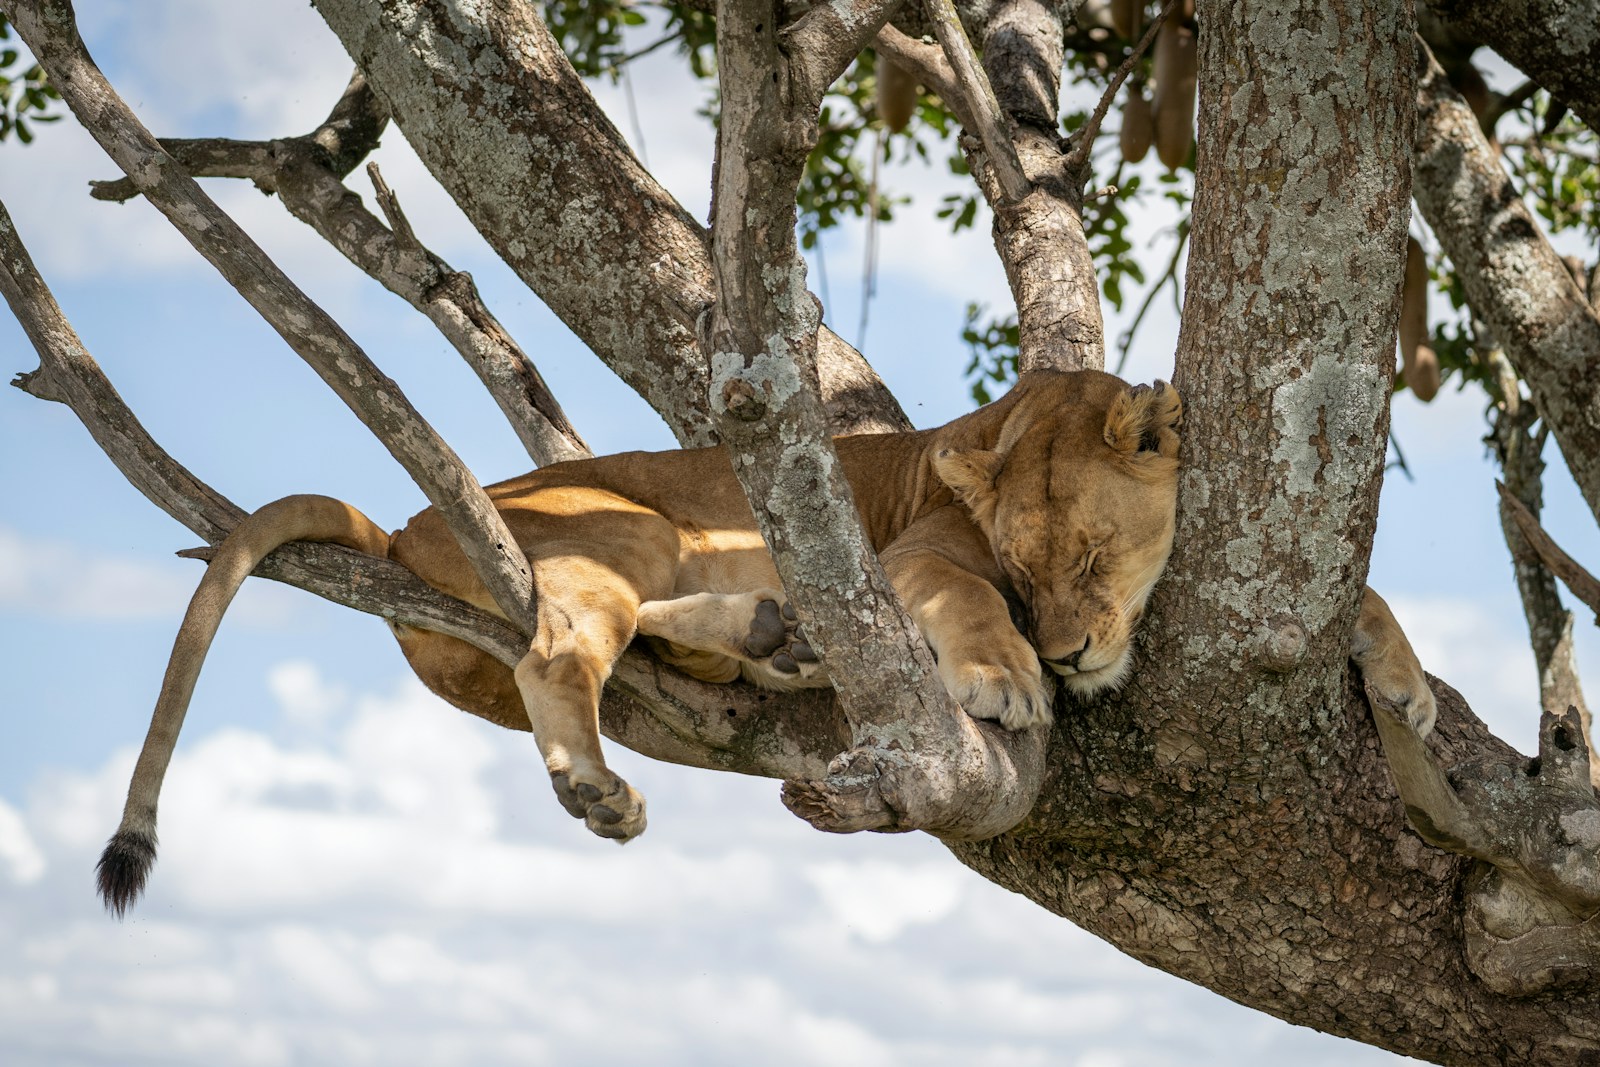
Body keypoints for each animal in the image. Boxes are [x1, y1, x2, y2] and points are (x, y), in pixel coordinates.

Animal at [94, 369, 1435, 914]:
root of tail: (409, 517)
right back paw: (608, 775)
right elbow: (965, 605)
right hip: (623, 522)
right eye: (1025, 567)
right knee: (560, 647)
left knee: (623, 640)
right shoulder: (916, 558)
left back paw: (770, 638)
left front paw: (1408, 685)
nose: (1064, 653)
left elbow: (1363, 596)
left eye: (1096, 556)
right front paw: (1004, 680)